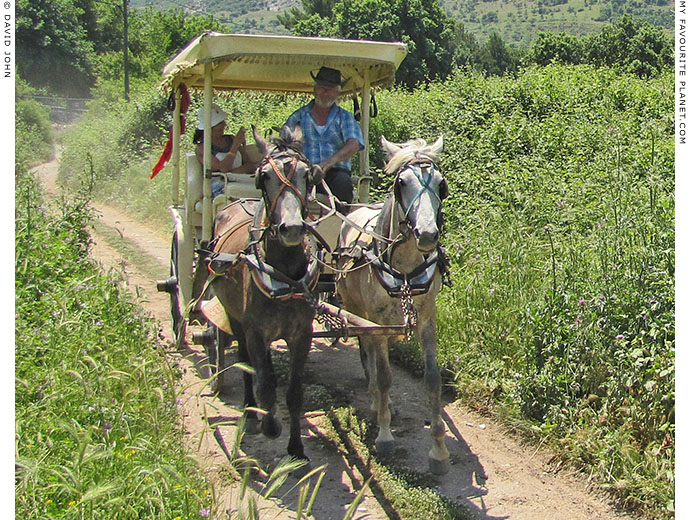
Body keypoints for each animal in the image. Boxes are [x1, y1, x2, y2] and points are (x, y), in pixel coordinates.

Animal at [334, 135, 452, 476]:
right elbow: (386, 375)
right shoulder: (378, 320)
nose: (427, 234)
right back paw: (376, 399)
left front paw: (438, 449)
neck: (405, 268)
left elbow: (432, 379)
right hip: (356, 307)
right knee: (368, 351)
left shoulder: (427, 317)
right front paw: (385, 435)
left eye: (441, 185)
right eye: (401, 183)